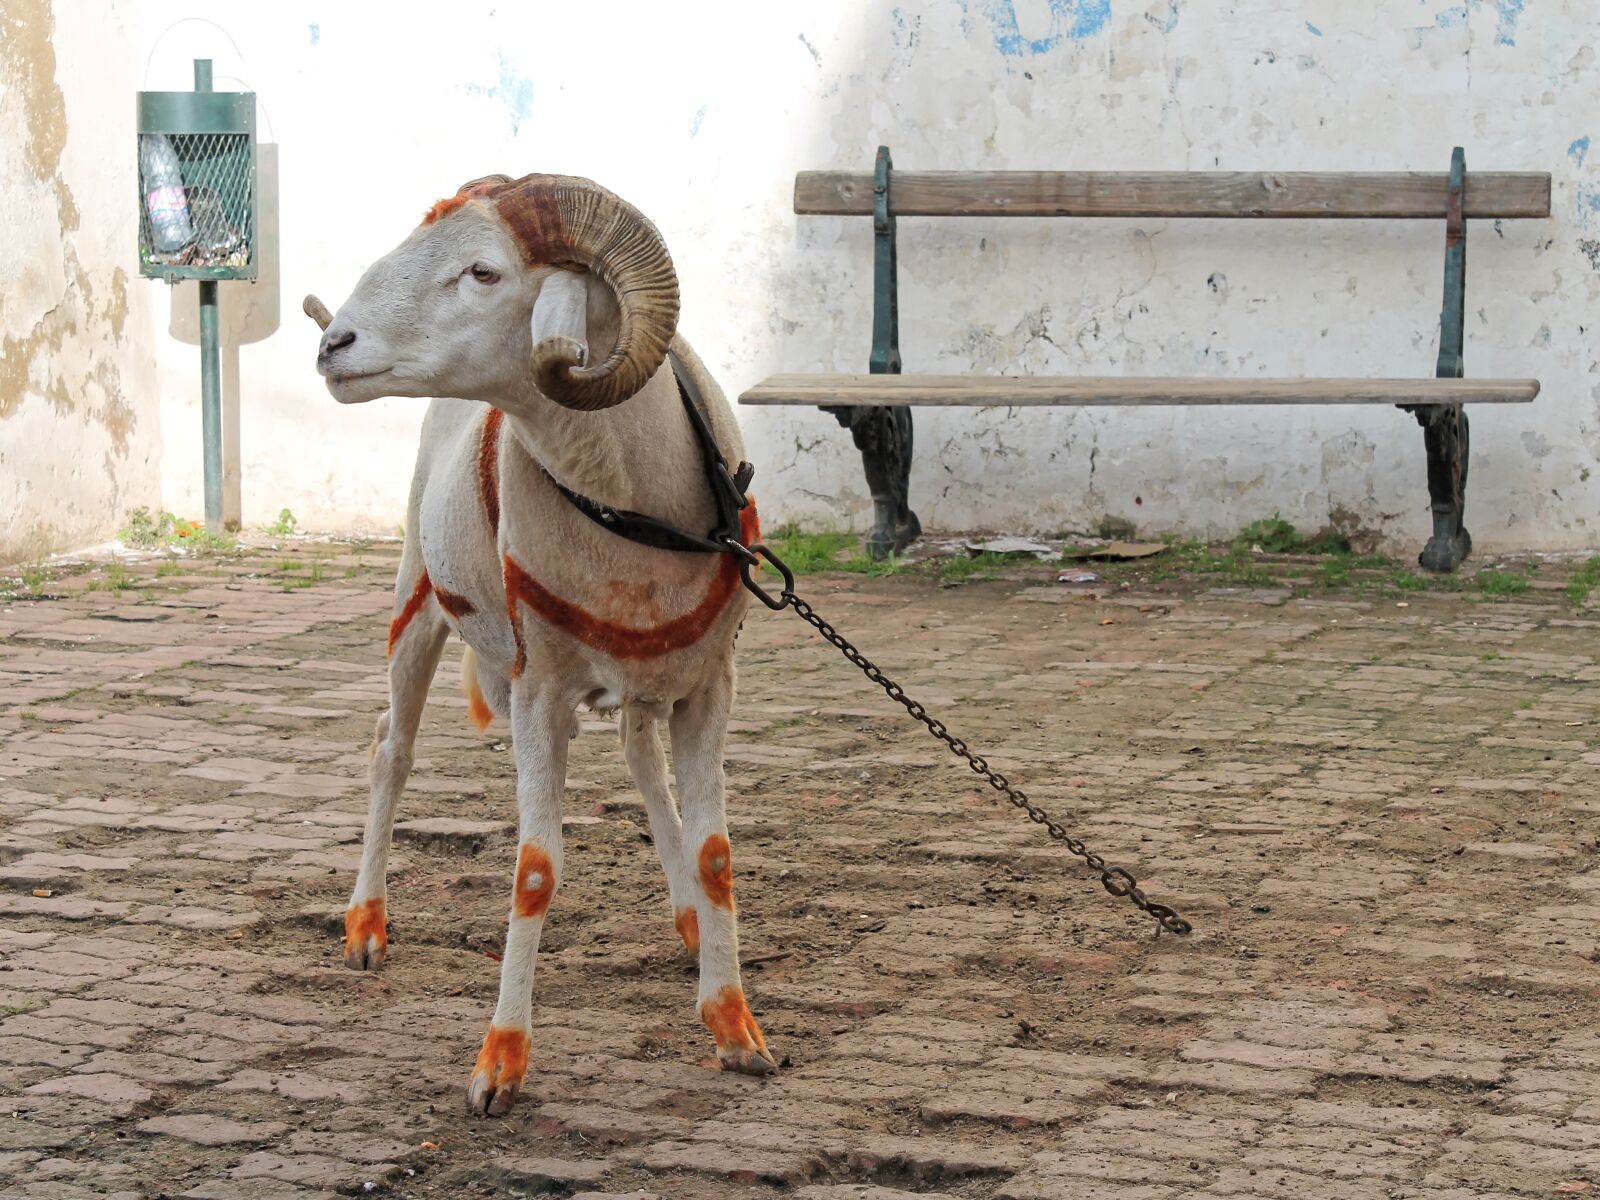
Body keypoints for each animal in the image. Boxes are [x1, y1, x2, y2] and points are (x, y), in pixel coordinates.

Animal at [305, 173, 774, 1116]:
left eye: (483, 271)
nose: (333, 344)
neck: (634, 509)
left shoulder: (711, 686)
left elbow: (715, 854)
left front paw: (735, 1026)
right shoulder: (538, 689)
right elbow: (533, 868)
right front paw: (500, 1063)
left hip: (645, 675)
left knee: (638, 757)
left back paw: (685, 923)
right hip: (417, 604)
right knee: (390, 751)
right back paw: (366, 926)